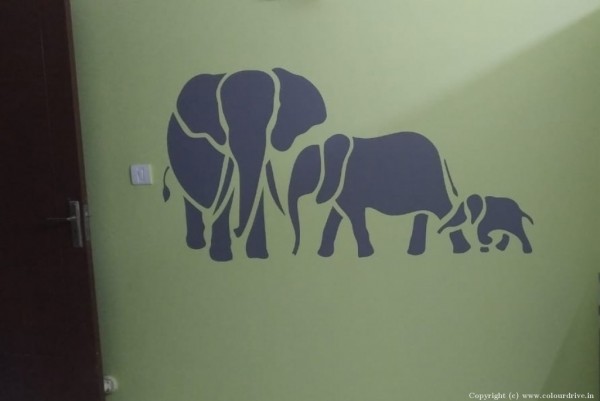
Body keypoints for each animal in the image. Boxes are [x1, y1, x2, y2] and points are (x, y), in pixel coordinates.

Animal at [164, 68, 327, 261]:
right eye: (225, 123)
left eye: (272, 121)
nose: (236, 230)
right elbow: (225, 195)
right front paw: (223, 257)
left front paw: (258, 256)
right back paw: (197, 245)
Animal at [287, 132, 471, 257]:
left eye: (305, 172)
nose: (295, 250)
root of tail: (441, 155)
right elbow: (335, 215)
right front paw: (323, 254)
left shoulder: (350, 186)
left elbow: (354, 216)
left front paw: (365, 255)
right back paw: (416, 253)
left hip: (432, 183)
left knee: (443, 209)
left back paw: (462, 250)